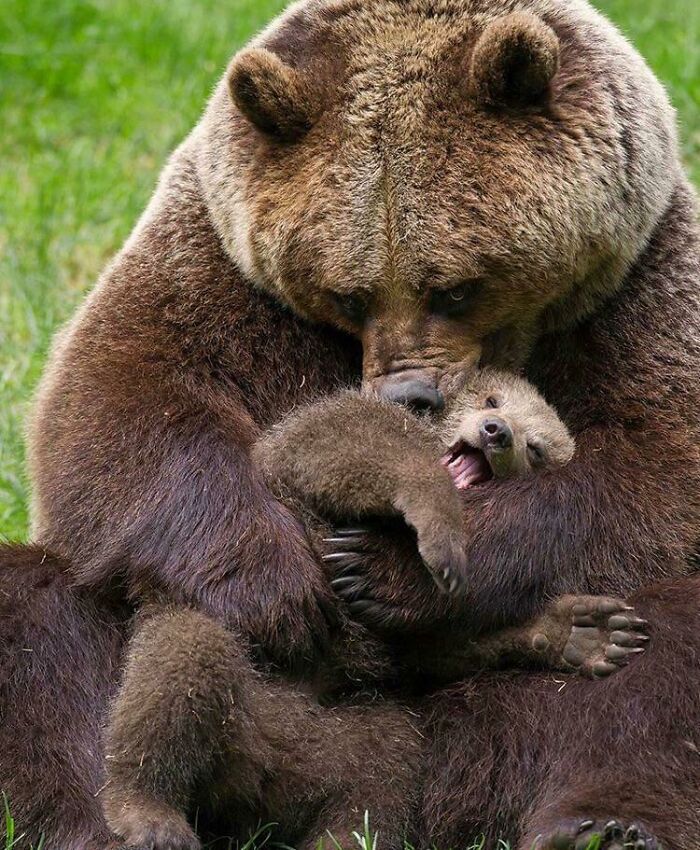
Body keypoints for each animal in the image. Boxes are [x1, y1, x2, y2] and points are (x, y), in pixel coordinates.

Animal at [101, 377, 646, 850]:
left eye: (537, 448)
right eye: (493, 398)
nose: (497, 431)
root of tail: (256, 785)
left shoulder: (402, 635)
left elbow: (442, 649)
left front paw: (583, 630)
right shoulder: (296, 462)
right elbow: (347, 441)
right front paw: (442, 531)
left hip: (337, 737)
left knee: (382, 774)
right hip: (241, 681)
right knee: (183, 661)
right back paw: (148, 813)